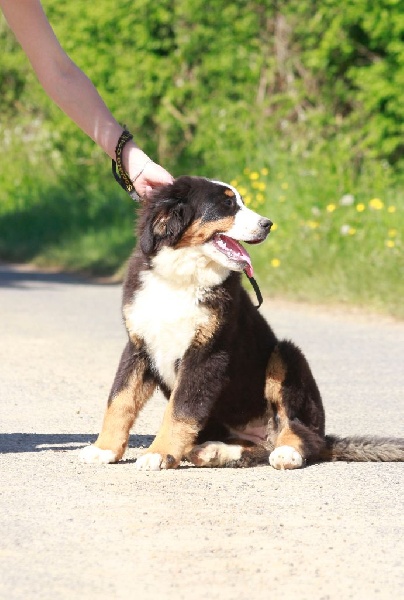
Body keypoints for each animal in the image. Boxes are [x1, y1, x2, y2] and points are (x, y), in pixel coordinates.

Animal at [80, 176, 404, 470]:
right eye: (227, 205)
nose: (268, 224)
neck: (181, 278)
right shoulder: (139, 346)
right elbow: (120, 400)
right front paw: (103, 449)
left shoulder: (207, 353)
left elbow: (180, 409)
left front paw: (159, 454)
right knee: (255, 448)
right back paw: (213, 451)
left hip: (286, 356)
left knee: (300, 431)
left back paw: (286, 453)